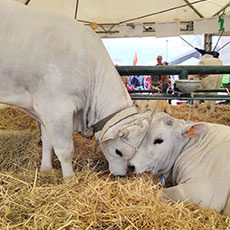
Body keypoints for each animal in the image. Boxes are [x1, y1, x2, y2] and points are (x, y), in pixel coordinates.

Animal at [0, 0, 152, 179]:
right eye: (118, 152)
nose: (121, 175)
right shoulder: (56, 109)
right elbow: (65, 150)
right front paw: (69, 179)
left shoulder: (45, 112)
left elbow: (47, 142)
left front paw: (46, 170)